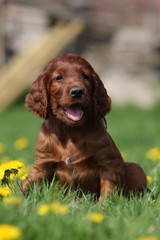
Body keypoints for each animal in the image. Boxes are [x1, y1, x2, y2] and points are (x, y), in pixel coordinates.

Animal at [22, 53, 148, 200]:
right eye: (59, 77)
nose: (77, 91)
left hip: (136, 168)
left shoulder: (110, 164)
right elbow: (28, 183)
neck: (70, 130)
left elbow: (108, 190)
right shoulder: (42, 163)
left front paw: (105, 204)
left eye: (85, 76)